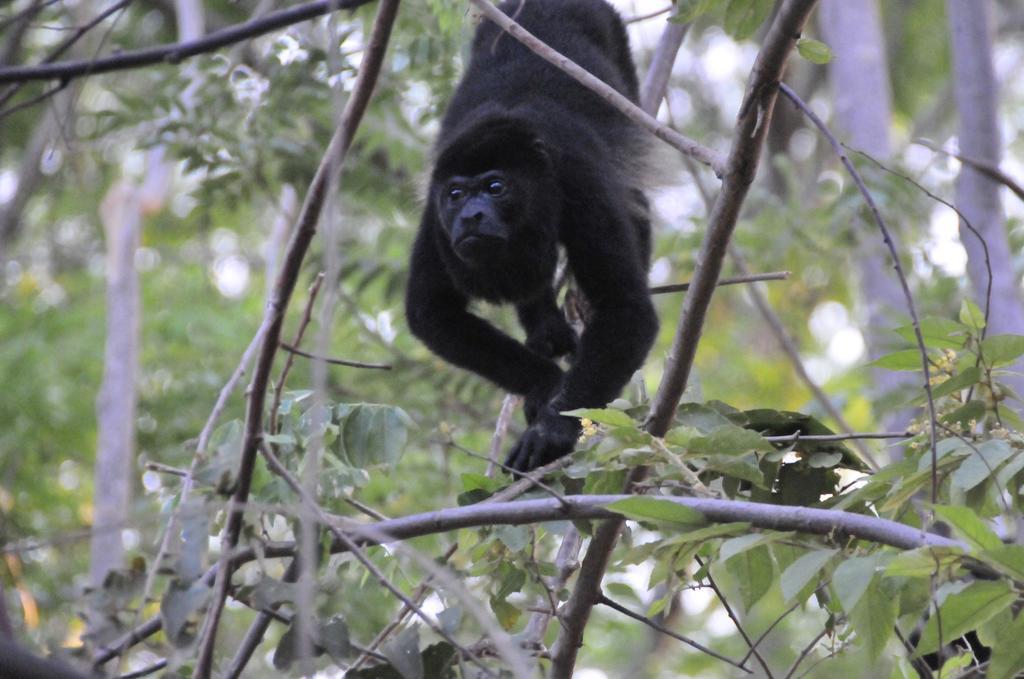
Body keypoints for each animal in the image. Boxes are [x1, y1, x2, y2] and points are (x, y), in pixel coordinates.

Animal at [401, 0, 655, 475]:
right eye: (456, 194)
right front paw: (546, 384)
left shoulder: (579, 181)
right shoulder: (434, 219)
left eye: (496, 187)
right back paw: (544, 328)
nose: (470, 216)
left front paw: (555, 428)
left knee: (636, 198)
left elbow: (626, 309)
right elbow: (431, 312)